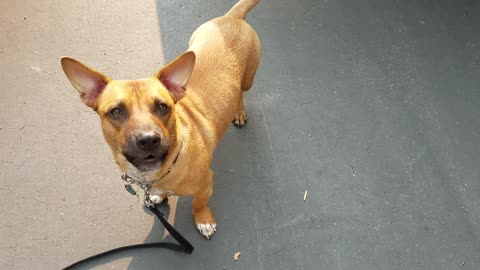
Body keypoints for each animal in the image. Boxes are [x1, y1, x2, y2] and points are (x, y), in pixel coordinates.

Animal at [61, 0, 262, 238]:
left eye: (162, 107)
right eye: (116, 111)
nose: (148, 140)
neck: (156, 174)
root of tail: (232, 17)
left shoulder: (206, 185)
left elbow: (198, 204)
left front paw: (204, 220)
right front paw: (161, 196)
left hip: (248, 79)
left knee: (241, 92)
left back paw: (239, 112)